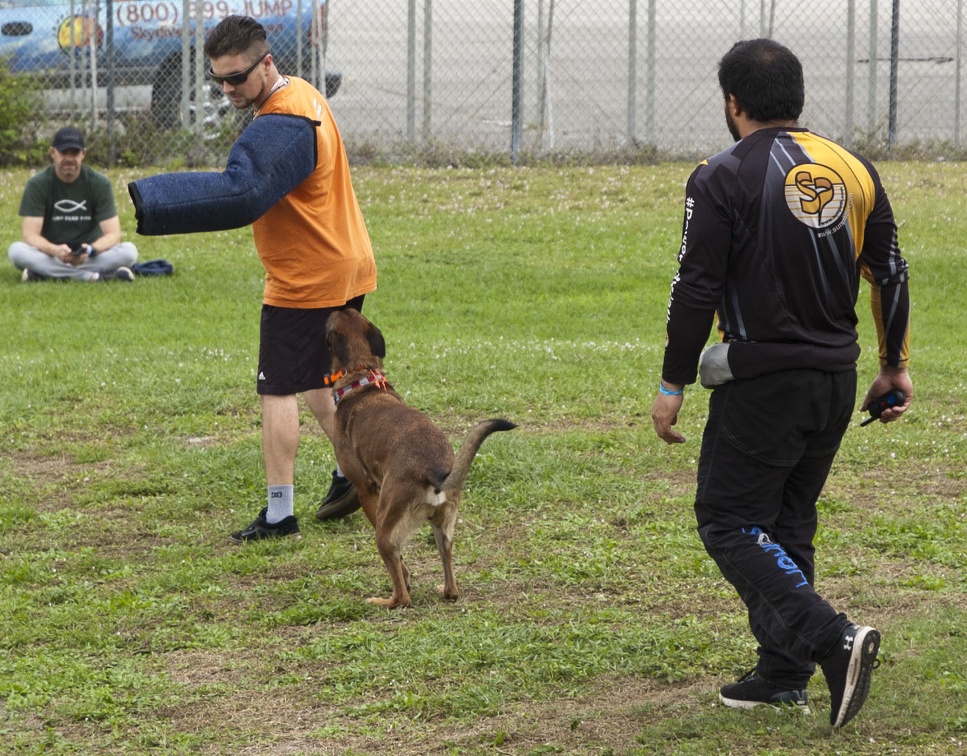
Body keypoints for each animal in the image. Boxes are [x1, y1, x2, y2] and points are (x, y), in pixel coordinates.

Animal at [326, 310, 520, 612]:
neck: (362, 377)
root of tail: (437, 473)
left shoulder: (367, 491)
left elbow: (400, 565)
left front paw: (404, 576)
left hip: (385, 532)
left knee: (402, 597)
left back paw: (383, 601)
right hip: (444, 531)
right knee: (451, 585)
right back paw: (445, 590)